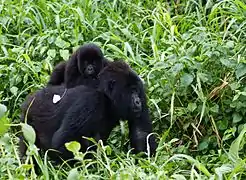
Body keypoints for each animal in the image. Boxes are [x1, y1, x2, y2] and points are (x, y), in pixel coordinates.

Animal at [20, 60, 157, 162]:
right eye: (131, 91)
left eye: (136, 91)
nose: (138, 101)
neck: (106, 96)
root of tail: (31, 97)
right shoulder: (90, 101)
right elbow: (63, 143)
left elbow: (141, 133)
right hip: (28, 117)